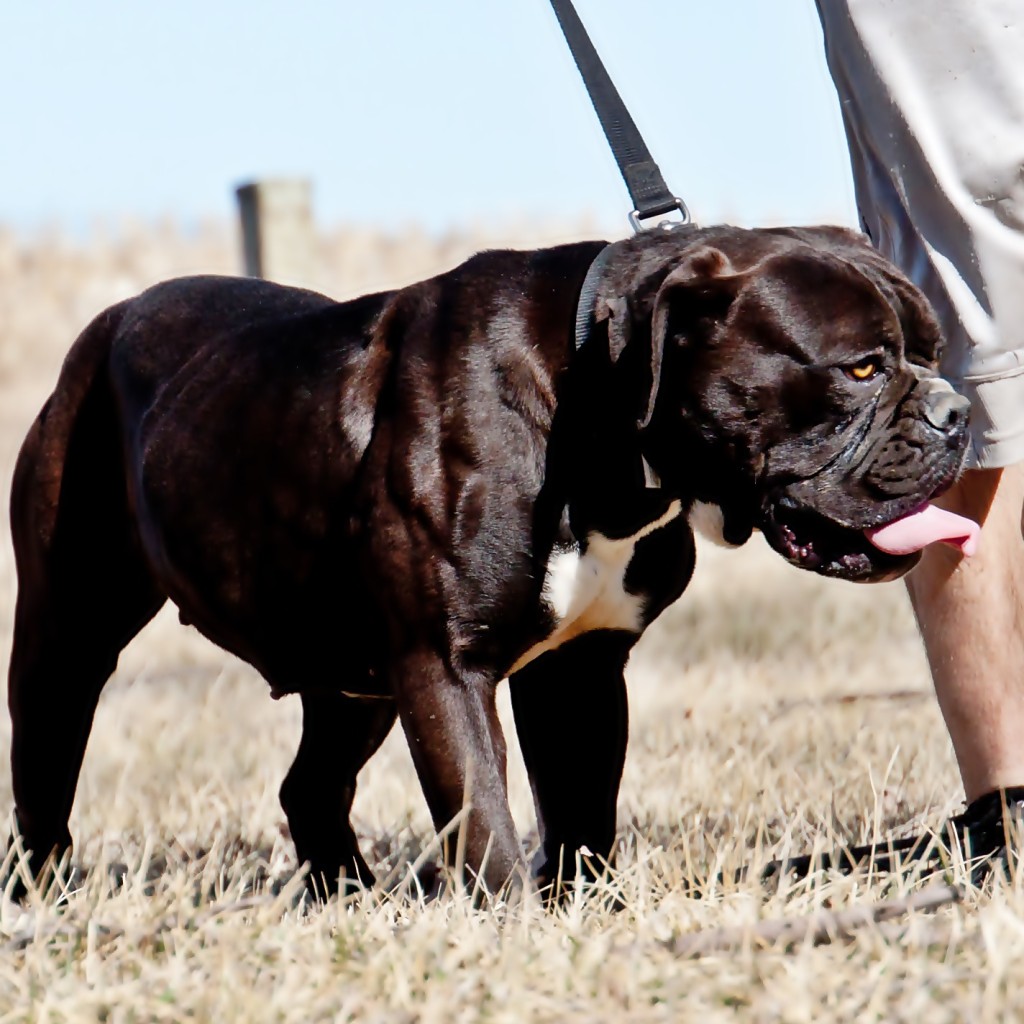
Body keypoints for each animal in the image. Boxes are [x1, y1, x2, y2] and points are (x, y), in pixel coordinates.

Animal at [4, 224, 970, 897]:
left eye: (931, 354)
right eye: (860, 368)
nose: (957, 412)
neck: (596, 412)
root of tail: (111, 320)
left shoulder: (579, 668)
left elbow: (581, 808)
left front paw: (587, 915)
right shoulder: (445, 665)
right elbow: (483, 817)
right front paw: (515, 923)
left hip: (354, 680)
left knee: (309, 788)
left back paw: (350, 899)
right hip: (66, 637)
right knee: (45, 775)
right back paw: (47, 898)